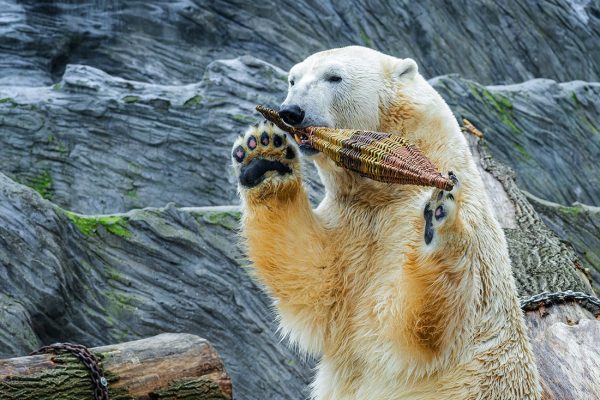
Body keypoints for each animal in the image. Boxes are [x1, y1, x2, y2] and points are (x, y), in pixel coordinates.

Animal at [230, 45, 540, 398]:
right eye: (292, 79)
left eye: (334, 76)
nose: (291, 112)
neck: (387, 191)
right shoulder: (352, 221)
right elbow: (316, 278)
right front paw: (262, 155)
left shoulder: (428, 224)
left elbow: (405, 326)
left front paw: (440, 223)